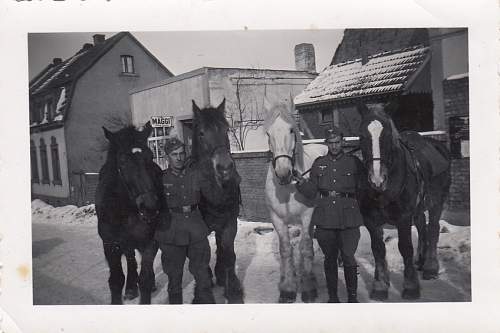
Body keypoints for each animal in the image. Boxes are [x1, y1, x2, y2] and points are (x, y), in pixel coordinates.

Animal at [93, 122, 164, 304]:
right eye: (123, 161)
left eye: (150, 157)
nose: (150, 206)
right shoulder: (110, 244)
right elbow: (116, 280)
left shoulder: (150, 240)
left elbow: (145, 279)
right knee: (130, 258)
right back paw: (131, 288)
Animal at [189, 97, 244, 302]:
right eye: (201, 133)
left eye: (226, 129)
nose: (225, 167)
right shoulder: (197, 230)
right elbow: (200, 259)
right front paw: (201, 293)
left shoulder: (229, 223)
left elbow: (228, 252)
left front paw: (233, 289)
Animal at [262, 100, 328, 300]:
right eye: (268, 133)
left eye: (291, 130)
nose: (283, 173)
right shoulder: (277, 219)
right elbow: (286, 250)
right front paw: (288, 288)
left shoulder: (307, 216)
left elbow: (305, 247)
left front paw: (308, 288)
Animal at [358, 102, 452, 300]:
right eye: (362, 135)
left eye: (387, 135)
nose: (377, 179)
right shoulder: (371, 220)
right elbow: (378, 248)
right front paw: (379, 286)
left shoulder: (403, 218)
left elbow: (405, 247)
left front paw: (411, 286)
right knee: (422, 227)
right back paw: (421, 261)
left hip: (437, 202)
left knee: (433, 229)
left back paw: (430, 267)